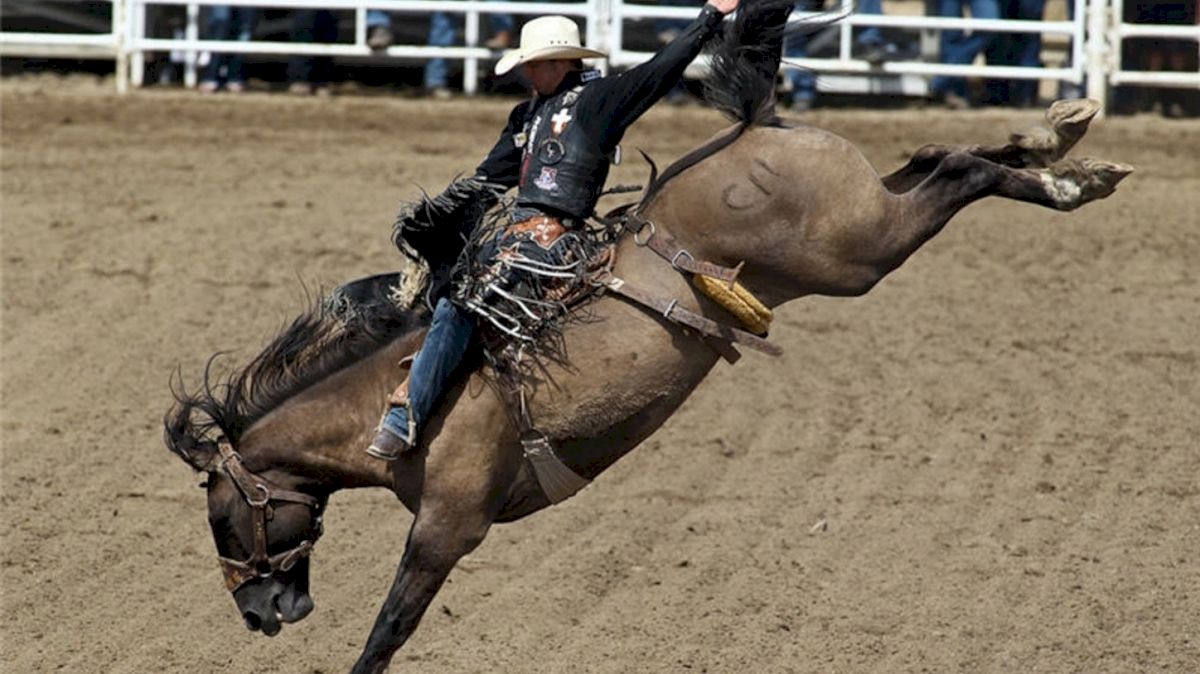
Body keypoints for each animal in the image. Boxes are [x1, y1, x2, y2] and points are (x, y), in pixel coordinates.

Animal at [164, 2, 1128, 666]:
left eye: (219, 518)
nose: (258, 615)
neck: (393, 392)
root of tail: (757, 126)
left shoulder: (447, 524)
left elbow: (388, 631)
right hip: (861, 218)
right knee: (933, 160)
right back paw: (1064, 139)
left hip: (856, 252)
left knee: (955, 171)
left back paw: (1071, 173)